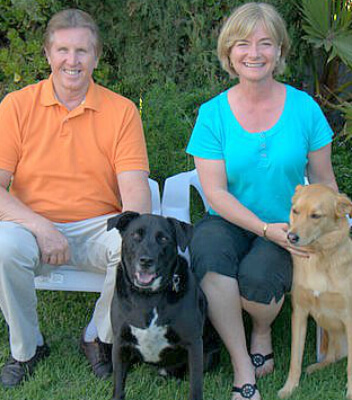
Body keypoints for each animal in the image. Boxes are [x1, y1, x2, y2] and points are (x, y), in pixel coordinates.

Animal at [107, 212, 212, 400]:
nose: (146, 261)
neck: (148, 296)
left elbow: (195, 386)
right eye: (136, 235)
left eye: (163, 238)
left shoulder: (193, 343)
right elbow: (118, 385)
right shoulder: (120, 341)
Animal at [278, 183, 352, 398]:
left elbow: (351, 367)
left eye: (316, 216)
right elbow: (295, 359)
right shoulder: (300, 314)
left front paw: (351, 393)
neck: (319, 257)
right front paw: (289, 388)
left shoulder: (350, 318)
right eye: (295, 211)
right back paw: (317, 367)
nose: (291, 237)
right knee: (333, 356)